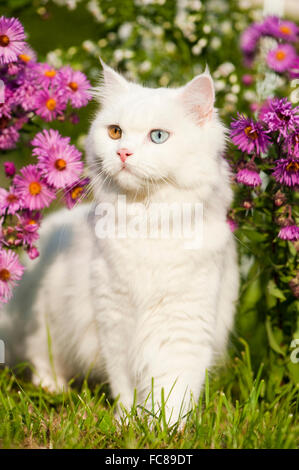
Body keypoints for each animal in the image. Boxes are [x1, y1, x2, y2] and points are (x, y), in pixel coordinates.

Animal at [0, 60, 240, 424]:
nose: (123, 152)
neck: (146, 220)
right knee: (41, 359)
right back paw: (53, 389)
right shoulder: (114, 318)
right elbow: (126, 383)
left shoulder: (184, 321)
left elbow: (173, 388)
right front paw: (128, 421)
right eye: (115, 132)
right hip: (43, 320)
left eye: (158, 136)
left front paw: (165, 426)